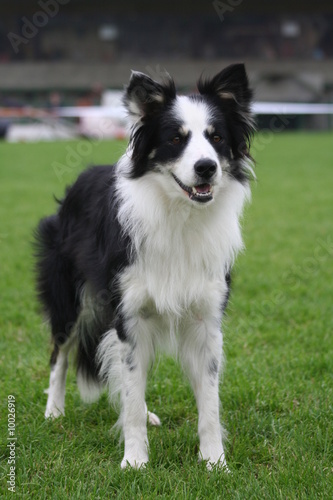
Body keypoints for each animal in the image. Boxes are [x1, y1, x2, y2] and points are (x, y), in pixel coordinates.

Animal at [35, 63, 254, 468]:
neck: (180, 214)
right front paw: (134, 461)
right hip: (69, 296)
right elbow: (132, 396)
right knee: (61, 352)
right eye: (175, 138)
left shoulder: (205, 319)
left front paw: (215, 462)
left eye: (216, 137)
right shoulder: (131, 315)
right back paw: (53, 412)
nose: (206, 168)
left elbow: (209, 402)